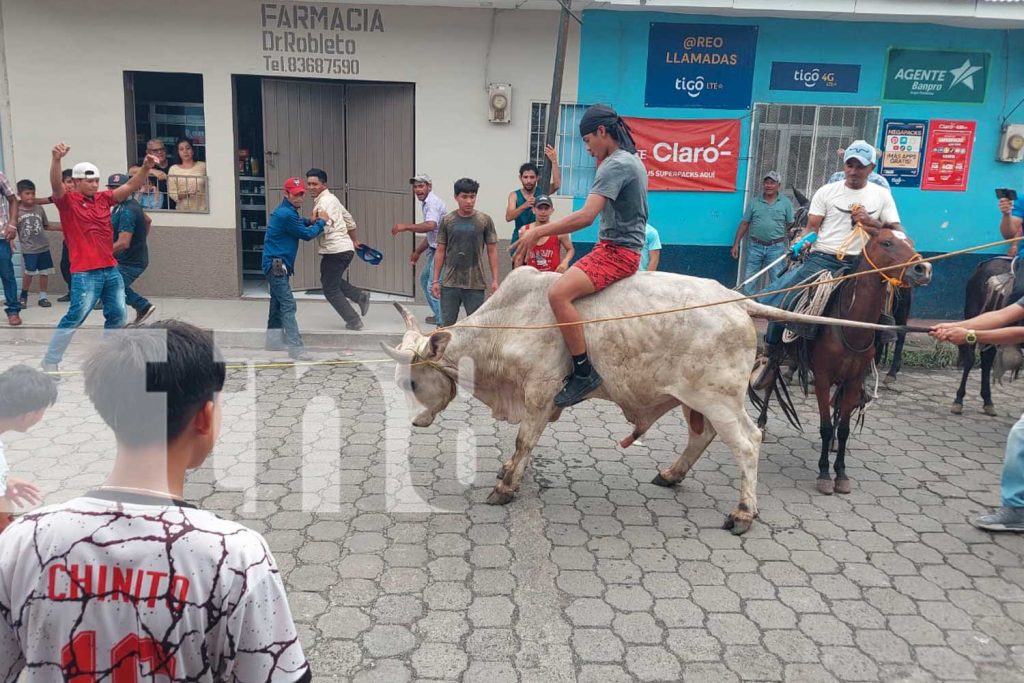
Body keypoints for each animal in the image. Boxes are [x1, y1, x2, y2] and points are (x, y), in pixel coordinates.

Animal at [385, 266, 905, 532]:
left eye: (411, 383)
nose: (414, 424)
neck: (510, 321)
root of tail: (738, 301)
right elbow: (526, 444)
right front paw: (508, 475)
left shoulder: (539, 392)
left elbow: (523, 441)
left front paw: (506, 485)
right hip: (700, 398)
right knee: (704, 437)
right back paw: (672, 474)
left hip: (720, 397)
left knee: (747, 442)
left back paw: (743, 513)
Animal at [757, 227, 933, 493]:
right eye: (887, 242)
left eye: (911, 242)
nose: (923, 269)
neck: (850, 324)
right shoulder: (822, 377)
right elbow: (826, 427)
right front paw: (824, 473)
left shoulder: (854, 379)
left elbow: (844, 429)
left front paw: (840, 472)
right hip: (779, 349)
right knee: (770, 381)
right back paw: (761, 423)